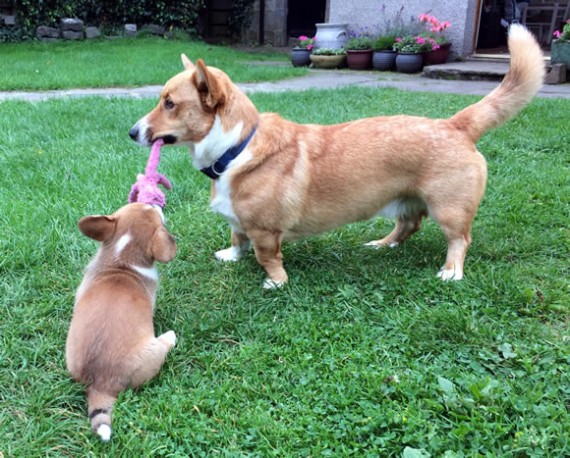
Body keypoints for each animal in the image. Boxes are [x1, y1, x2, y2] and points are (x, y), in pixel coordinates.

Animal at [65, 203, 175, 440]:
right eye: (155, 214)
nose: (155, 203)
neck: (122, 259)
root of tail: (98, 385)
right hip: (153, 352)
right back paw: (170, 337)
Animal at [127, 24, 540, 286]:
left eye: (169, 104)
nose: (132, 132)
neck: (236, 147)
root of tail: (456, 124)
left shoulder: (265, 231)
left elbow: (265, 255)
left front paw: (276, 282)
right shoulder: (240, 223)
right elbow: (236, 236)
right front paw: (232, 255)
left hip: (449, 208)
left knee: (459, 239)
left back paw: (451, 271)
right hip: (407, 200)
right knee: (408, 225)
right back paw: (382, 245)